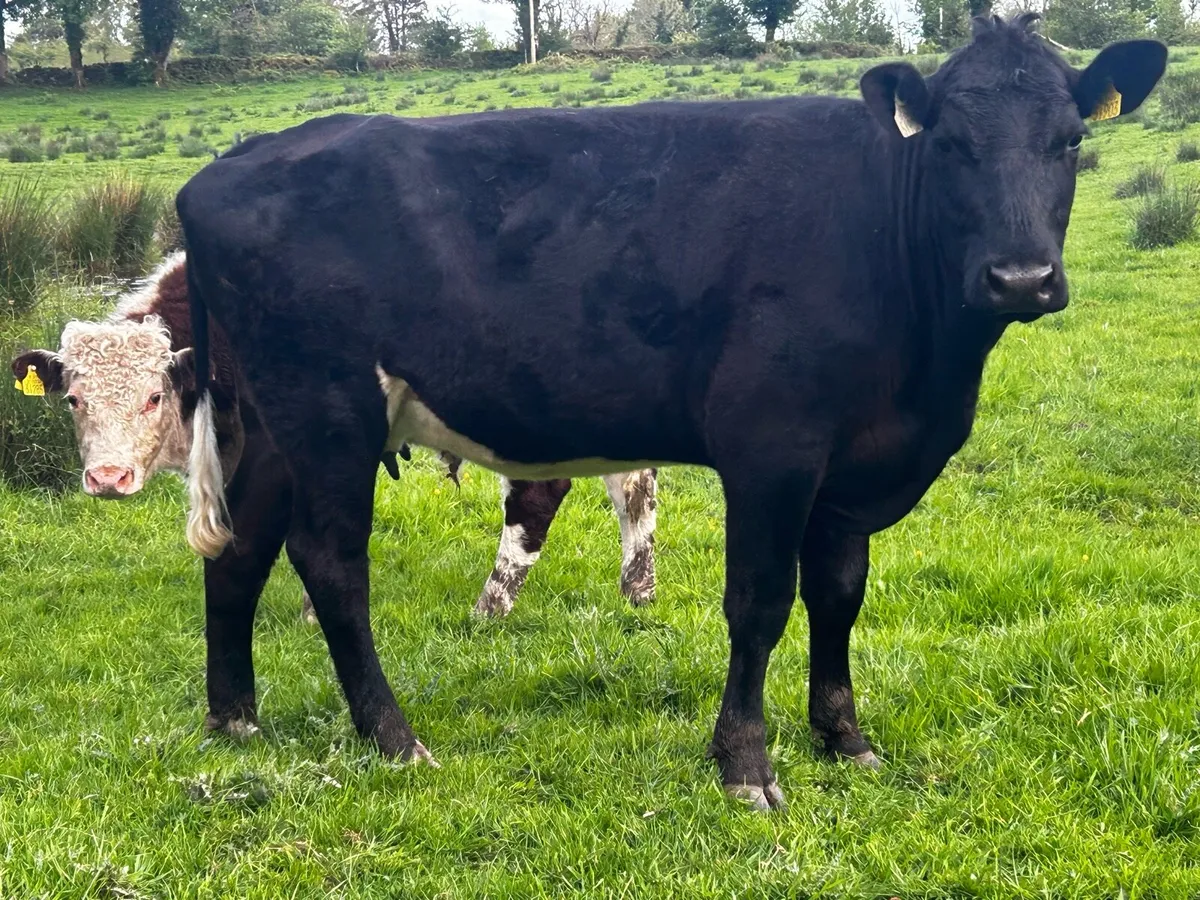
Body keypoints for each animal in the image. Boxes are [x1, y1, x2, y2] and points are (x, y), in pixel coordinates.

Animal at [10, 252, 658, 625]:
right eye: (74, 400)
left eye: (153, 396)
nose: (108, 478)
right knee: (635, 487)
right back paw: (638, 590)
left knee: (539, 498)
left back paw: (489, 609)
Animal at [173, 14, 1164, 809]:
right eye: (952, 145)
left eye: (1070, 140)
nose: (1021, 278)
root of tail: (236, 159)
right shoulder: (772, 447)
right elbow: (761, 602)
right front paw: (747, 766)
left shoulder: (852, 467)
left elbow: (840, 595)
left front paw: (844, 739)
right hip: (327, 410)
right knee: (330, 562)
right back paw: (394, 738)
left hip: (273, 421)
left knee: (243, 550)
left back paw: (235, 717)